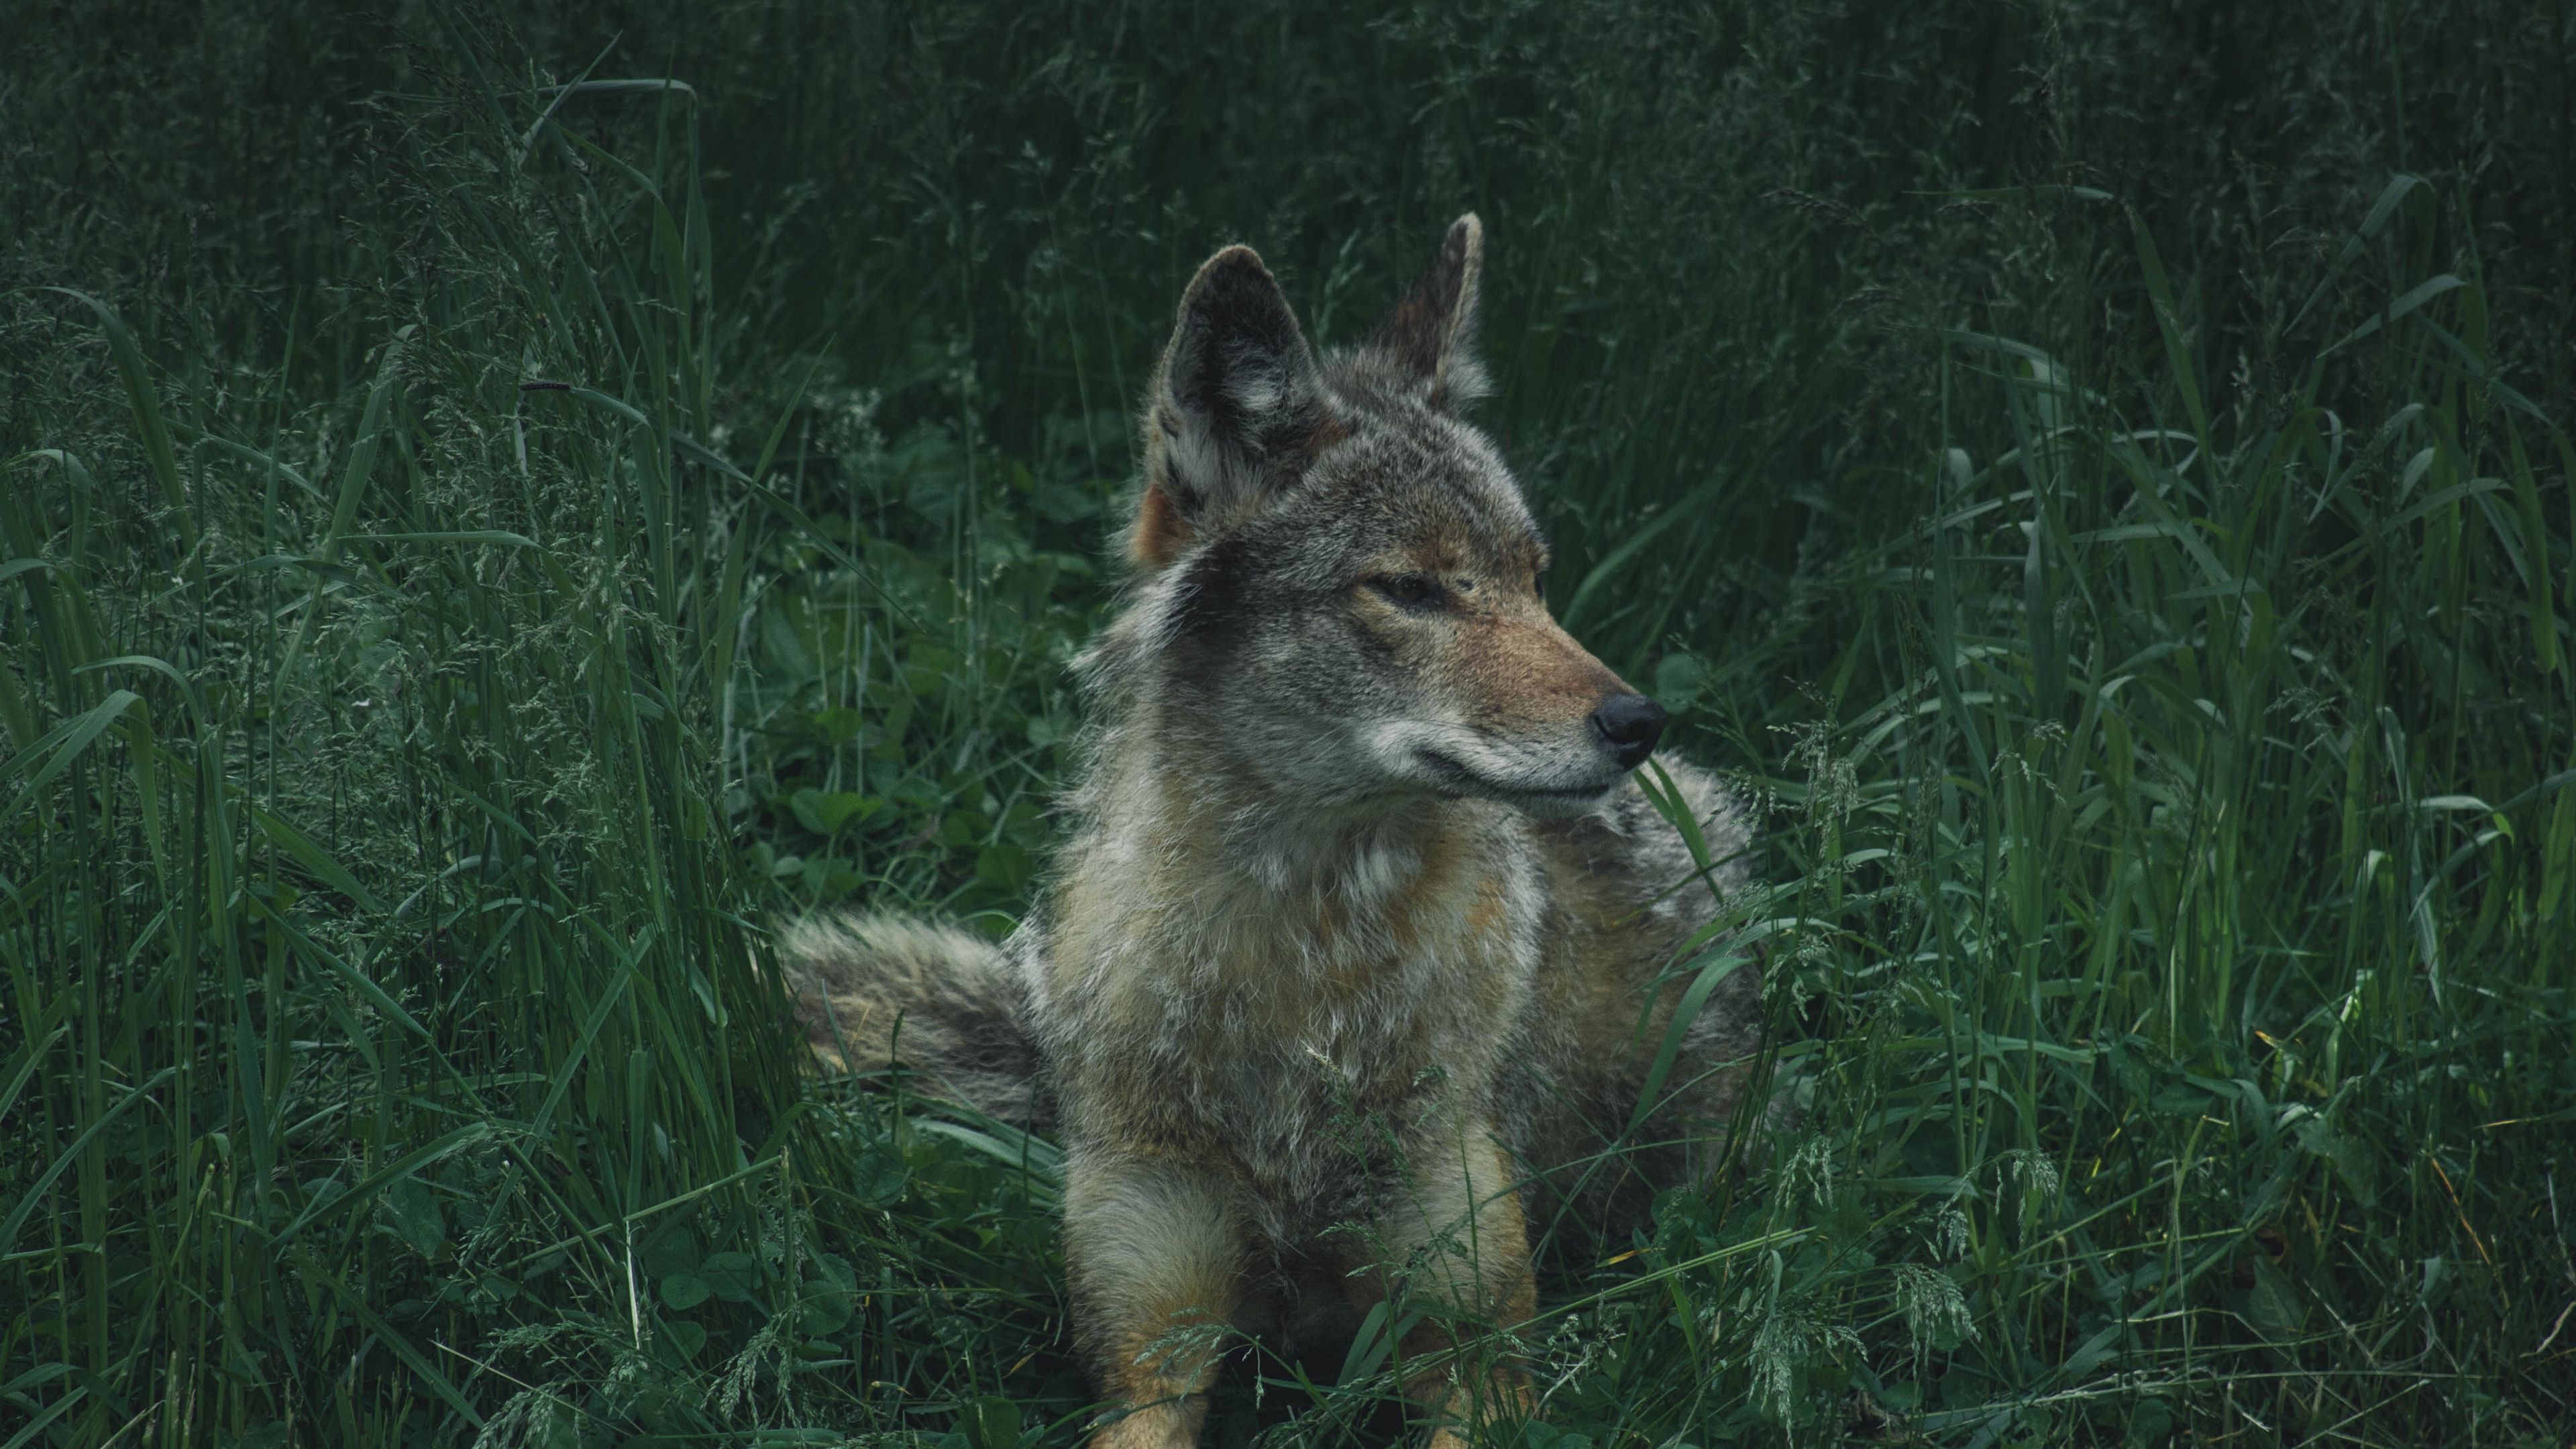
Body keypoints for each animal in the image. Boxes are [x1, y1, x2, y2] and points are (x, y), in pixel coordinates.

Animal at [788, 215, 1764, 1449]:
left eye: (1535, 582)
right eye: (1412, 591)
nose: (1639, 721)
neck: (1307, 977)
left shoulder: (1479, 1352)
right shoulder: (1149, 1348)